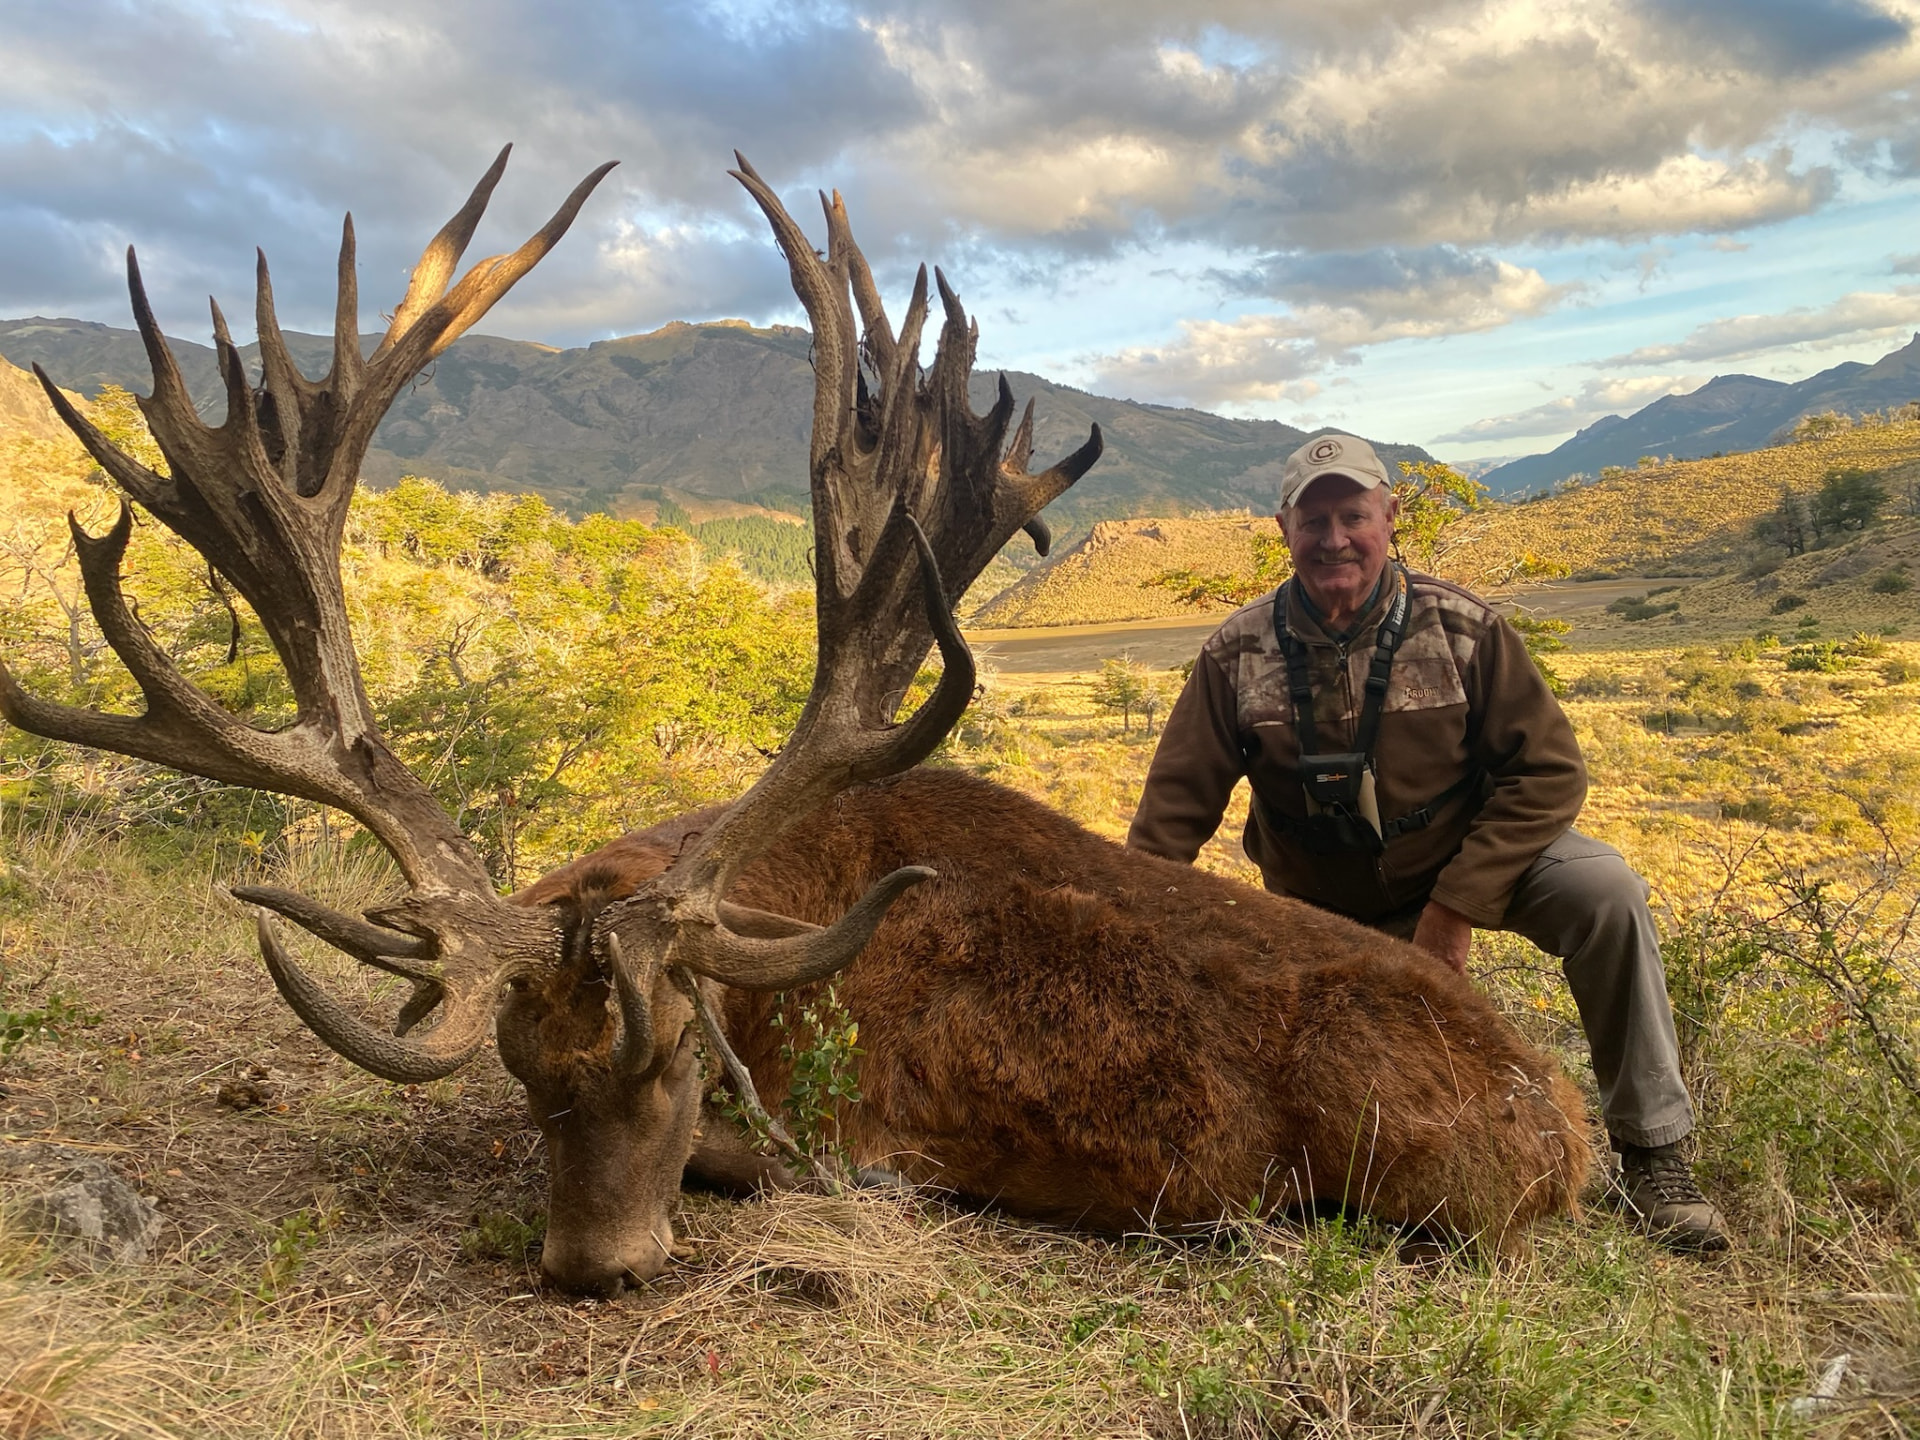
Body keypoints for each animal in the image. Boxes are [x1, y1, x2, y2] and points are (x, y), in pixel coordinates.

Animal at [0, 149, 1592, 1297]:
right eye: (525, 1077)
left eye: (681, 1061)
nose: (593, 1270)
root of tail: (1565, 1133)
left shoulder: (856, 1134)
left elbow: (768, 1164)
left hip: (1419, 1174)